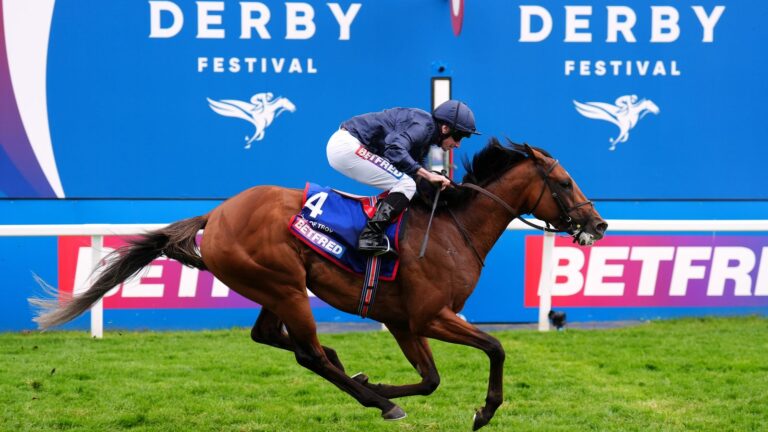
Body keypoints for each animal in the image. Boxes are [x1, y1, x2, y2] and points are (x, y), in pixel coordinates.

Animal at [31, 138, 608, 428]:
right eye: (563, 182)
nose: (598, 224)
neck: (451, 230)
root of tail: (217, 215)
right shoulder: (429, 316)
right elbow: (494, 347)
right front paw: (482, 410)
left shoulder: (402, 321)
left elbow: (430, 379)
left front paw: (379, 383)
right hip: (284, 285)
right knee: (306, 353)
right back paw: (371, 396)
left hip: (273, 287)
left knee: (274, 338)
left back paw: (356, 378)